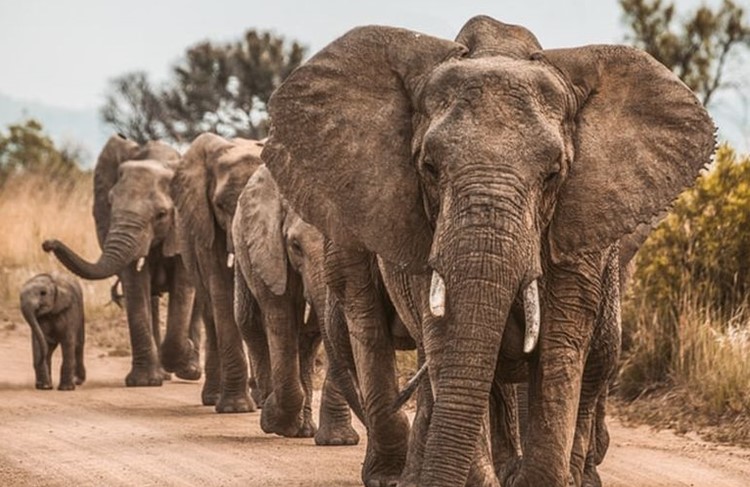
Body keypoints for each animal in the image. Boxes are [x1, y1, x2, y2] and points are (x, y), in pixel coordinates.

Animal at [41, 135, 200, 386]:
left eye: (161, 215)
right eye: (109, 204)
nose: (48, 243)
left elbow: (184, 287)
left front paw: (183, 354)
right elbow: (135, 286)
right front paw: (144, 382)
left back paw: (190, 371)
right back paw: (164, 373)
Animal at [172, 132, 266, 412]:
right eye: (221, 205)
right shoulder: (205, 223)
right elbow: (222, 292)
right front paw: (236, 408)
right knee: (210, 312)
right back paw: (214, 397)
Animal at [235, 166, 364, 444]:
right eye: (295, 246)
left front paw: (338, 442)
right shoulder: (269, 250)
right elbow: (280, 320)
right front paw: (273, 421)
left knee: (308, 340)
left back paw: (303, 430)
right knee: (249, 322)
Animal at [264, 15, 716, 487]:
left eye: (554, 174)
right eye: (428, 168)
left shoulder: (581, 222)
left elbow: (561, 345)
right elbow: (447, 339)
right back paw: (399, 475)